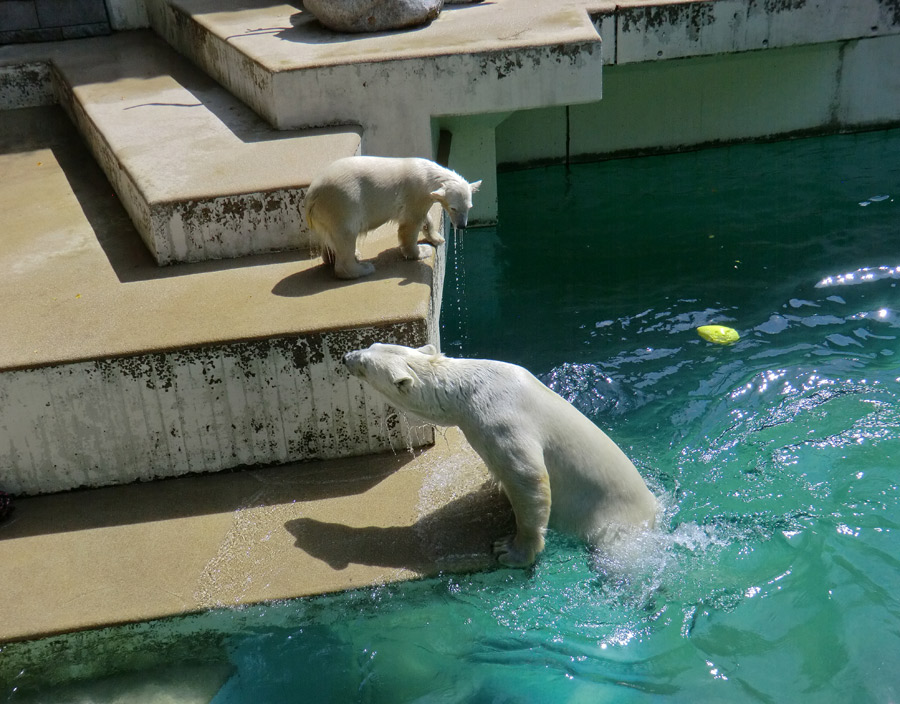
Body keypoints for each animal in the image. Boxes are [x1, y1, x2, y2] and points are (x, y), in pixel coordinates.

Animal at [304, 157, 478, 278]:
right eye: (453, 208)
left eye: (469, 207)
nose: (461, 225)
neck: (428, 174)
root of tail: (312, 195)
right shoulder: (416, 192)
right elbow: (410, 223)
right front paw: (421, 251)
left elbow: (424, 217)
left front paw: (437, 238)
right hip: (342, 203)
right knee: (346, 234)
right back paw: (362, 268)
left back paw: (343, 256)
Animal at [342, 340, 656, 568]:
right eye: (371, 345)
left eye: (365, 364)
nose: (346, 356)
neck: (469, 385)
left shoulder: (499, 418)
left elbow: (528, 475)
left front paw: (512, 550)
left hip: (611, 525)